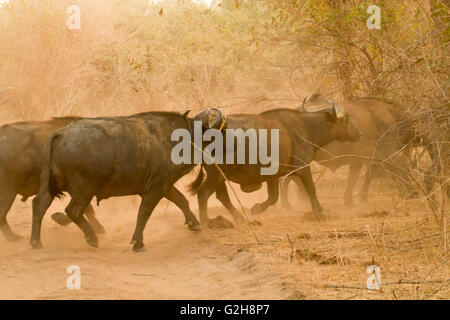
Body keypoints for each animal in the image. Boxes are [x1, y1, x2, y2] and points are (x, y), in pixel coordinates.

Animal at [30, 111, 201, 251]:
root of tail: (61, 133)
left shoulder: (165, 186)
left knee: (39, 205)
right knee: (74, 210)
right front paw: (138, 243)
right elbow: (144, 213)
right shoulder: (155, 189)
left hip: (50, 185)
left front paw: (195, 223)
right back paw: (92, 237)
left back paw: (36, 242)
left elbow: (182, 200)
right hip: (85, 189)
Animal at [190, 103, 362, 228]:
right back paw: (206, 223)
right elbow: (311, 189)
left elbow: (273, 198)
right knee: (203, 193)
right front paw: (320, 212)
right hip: (216, 174)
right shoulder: (303, 168)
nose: (358, 134)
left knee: (222, 196)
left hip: (219, 176)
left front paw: (257, 208)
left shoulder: (273, 177)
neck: (304, 126)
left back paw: (242, 220)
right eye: (347, 119)